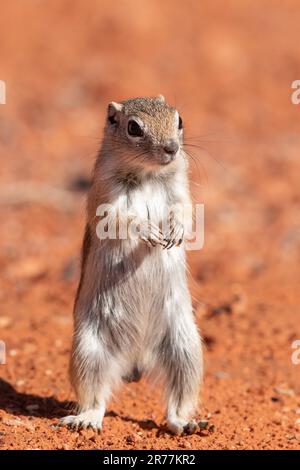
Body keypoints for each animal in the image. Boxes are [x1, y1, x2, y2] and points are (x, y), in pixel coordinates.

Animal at [59, 96, 203, 436]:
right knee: (95, 398)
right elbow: (119, 219)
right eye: (134, 128)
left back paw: (186, 423)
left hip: (186, 350)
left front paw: (175, 230)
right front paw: (147, 230)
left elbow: (184, 209)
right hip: (88, 352)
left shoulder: (181, 189)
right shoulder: (104, 196)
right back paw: (86, 419)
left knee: (177, 400)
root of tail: (136, 362)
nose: (171, 148)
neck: (147, 174)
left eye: (179, 120)